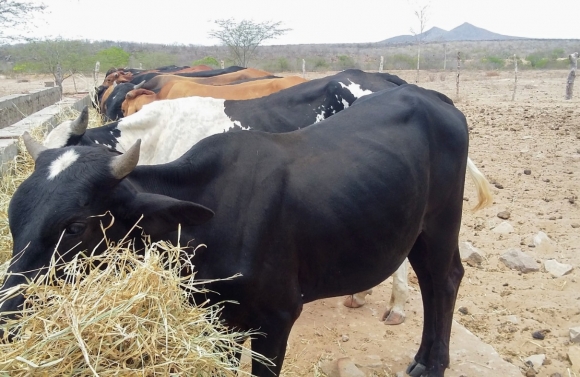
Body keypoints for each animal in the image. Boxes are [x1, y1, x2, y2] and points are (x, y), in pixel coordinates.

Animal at [2, 85, 482, 376]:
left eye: (75, 226)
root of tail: (430, 96)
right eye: (13, 212)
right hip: (414, 229)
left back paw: (431, 362)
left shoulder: (278, 320)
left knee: (444, 280)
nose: (7, 312)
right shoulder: (224, 320)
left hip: (441, 224)